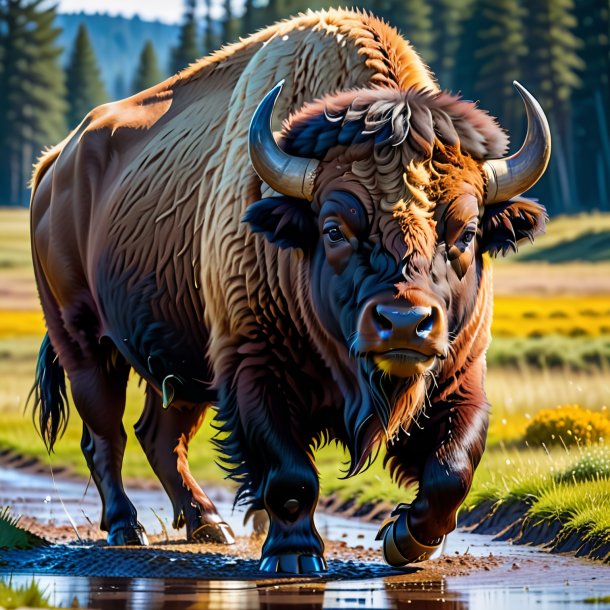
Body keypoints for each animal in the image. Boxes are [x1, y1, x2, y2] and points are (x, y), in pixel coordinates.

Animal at [28, 8, 548, 568]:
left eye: (467, 232)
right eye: (334, 229)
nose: (404, 323)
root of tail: (53, 165)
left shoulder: (459, 372)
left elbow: (452, 470)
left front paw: (405, 539)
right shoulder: (254, 366)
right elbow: (289, 474)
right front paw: (294, 554)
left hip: (178, 365)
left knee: (159, 435)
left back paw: (209, 524)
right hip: (83, 340)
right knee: (106, 434)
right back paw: (127, 527)